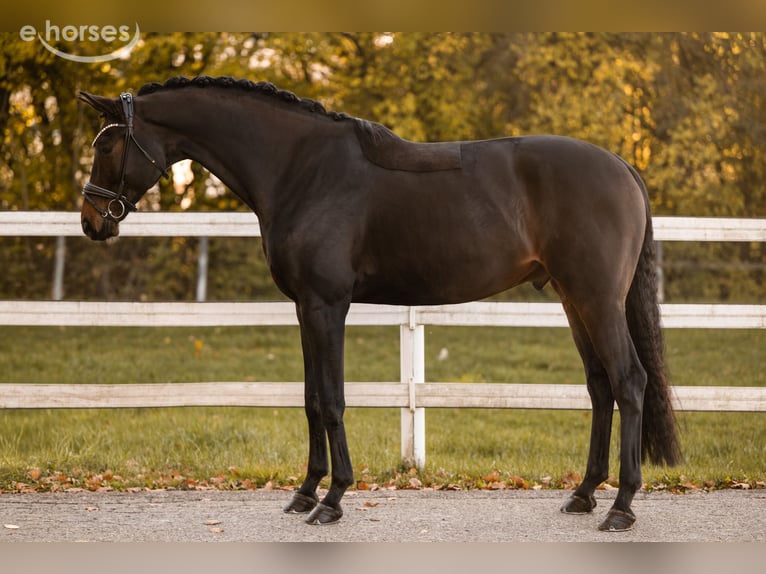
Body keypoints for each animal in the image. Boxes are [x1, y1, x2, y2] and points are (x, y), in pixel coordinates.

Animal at [78, 75, 680, 532]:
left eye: (106, 146)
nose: (90, 221)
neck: (300, 168)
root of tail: (622, 165)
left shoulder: (327, 305)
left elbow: (332, 400)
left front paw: (332, 499)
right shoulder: (304, 308)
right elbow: (311, 398)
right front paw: (304, 491)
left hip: (597, 299)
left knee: (629, 382)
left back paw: (622, 506)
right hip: (573, 300)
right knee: (600, 387)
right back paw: (583, 494)